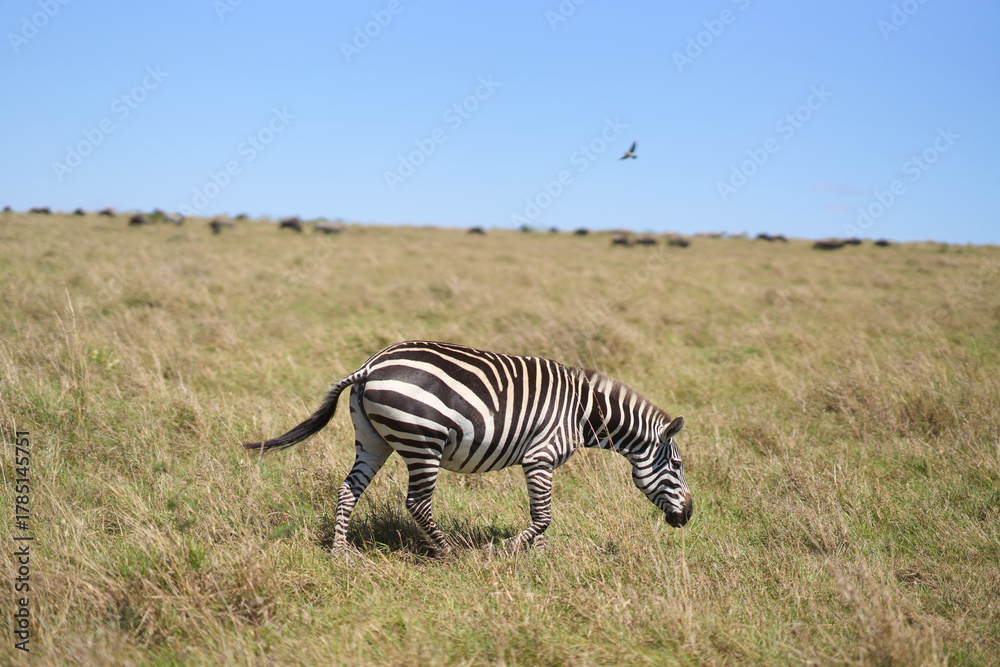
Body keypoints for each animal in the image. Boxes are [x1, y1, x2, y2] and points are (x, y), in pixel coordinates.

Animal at [244, 341, 692, 557]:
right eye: (677, 465)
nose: (688, 517)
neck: (584, 412)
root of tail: (371, 365)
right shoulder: (541, 456)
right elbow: (543, 516)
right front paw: (506, 549)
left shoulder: (538, 462)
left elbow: (542, 516)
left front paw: (540, 555)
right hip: (423, 441)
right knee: (417, 503)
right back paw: (449, 553)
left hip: (372, 440)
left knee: (348, 490)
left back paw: (341, 553)